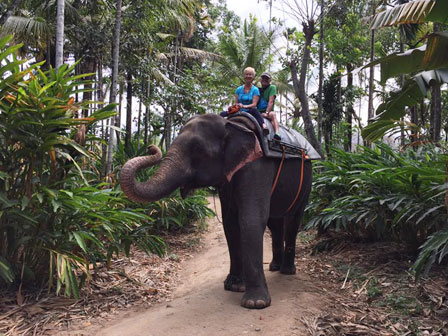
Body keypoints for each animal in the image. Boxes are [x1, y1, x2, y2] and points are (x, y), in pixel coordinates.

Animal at [119, 113, 316, 310]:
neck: (233, 125)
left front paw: (255, 303)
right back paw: (274, 267)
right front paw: (234, 286)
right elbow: (230, 223)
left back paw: (287, 271)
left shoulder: (258, 166)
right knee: (275, 222)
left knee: (293, 220)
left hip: (307, 181)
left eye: (197, 148)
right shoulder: (227, 180)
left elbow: (251, 219)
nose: (151, 147)